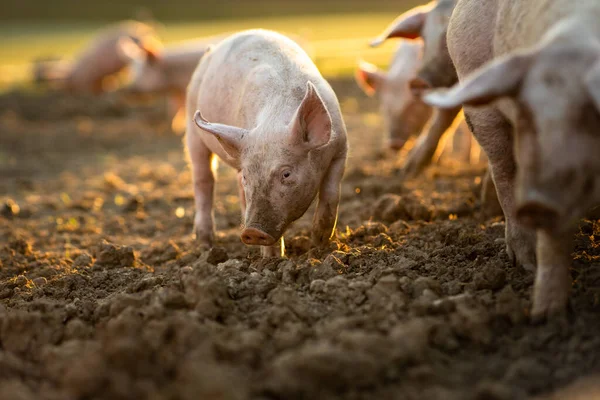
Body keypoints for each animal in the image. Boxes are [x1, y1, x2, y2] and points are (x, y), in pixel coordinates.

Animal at [185, 29, 350, 258]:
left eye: (286, 174)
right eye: (248, 176)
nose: (252, 232)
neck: (273, 122)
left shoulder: (340, 148)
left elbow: (331, 193)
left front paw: (320, 243)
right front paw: (273, 260)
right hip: (193, 131)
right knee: (203, 179)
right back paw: (206, 244)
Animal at [424, 0, 600, 318]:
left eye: (590, 114)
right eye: (528, 114)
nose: (536, 203)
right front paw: (547, 316)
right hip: (478, 90)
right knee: (503, 170)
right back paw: (524, 263)